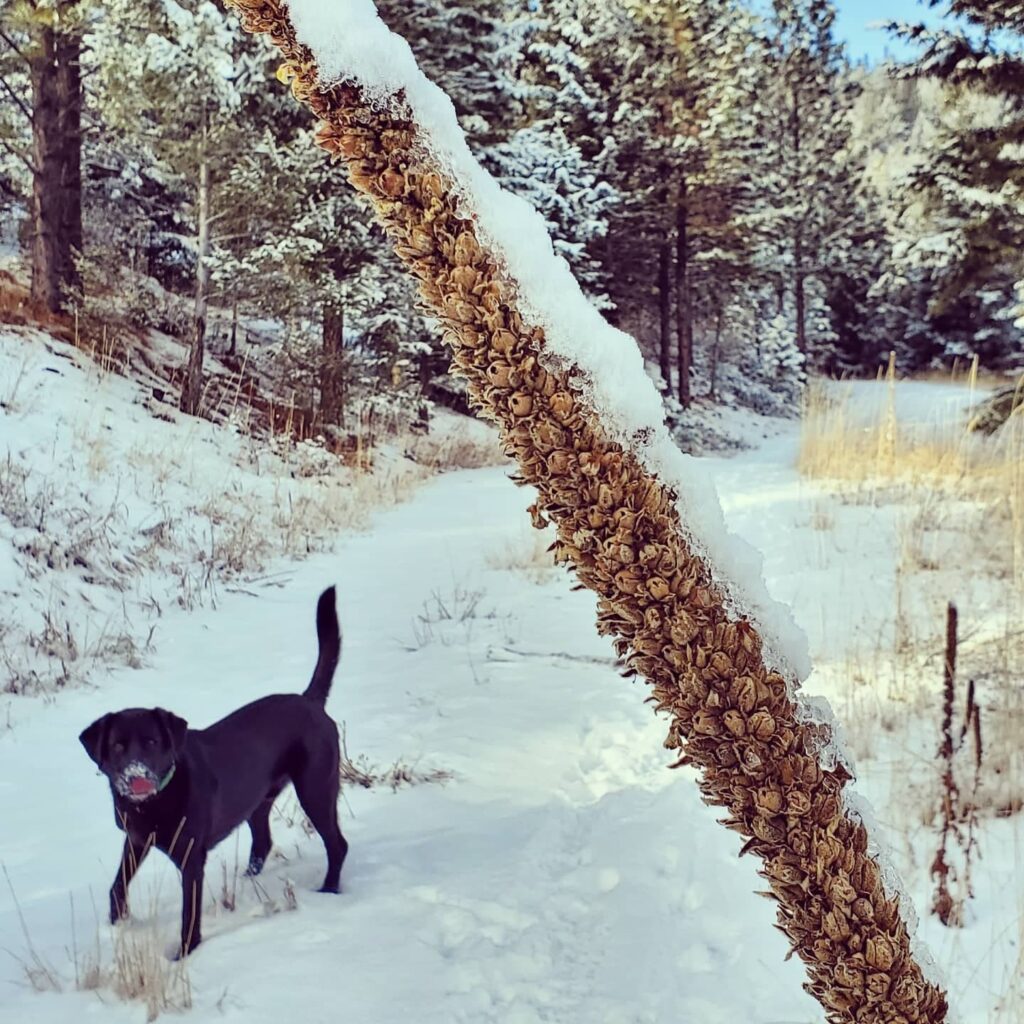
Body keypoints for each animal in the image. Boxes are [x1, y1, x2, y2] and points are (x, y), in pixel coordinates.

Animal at [76, 589, 348, 954]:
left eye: (152, 741)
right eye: (118, 746)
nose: (137, 776)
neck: (155, 801)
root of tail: (310, 701)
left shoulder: (191, 858)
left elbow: (189, 912)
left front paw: (185, 953)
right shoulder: (135, 839)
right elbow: (117, 885)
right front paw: (117, 921)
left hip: (316, 788)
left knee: (337, 844)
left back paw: (329, 891)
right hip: (256, 798)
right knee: (263, 841)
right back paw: (248, 881)